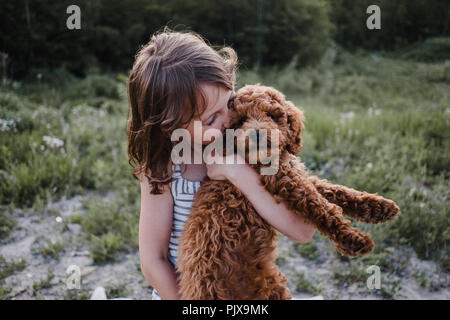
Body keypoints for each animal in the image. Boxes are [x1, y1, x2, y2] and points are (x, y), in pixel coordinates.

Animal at [178, 84, 400, 298]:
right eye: (240, 121)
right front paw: (354, 240)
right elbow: (322, 208)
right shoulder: (288, 182)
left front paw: (380, 207)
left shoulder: (297, 174)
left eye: (272, 115)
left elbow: (334, 191)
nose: (256, 133)